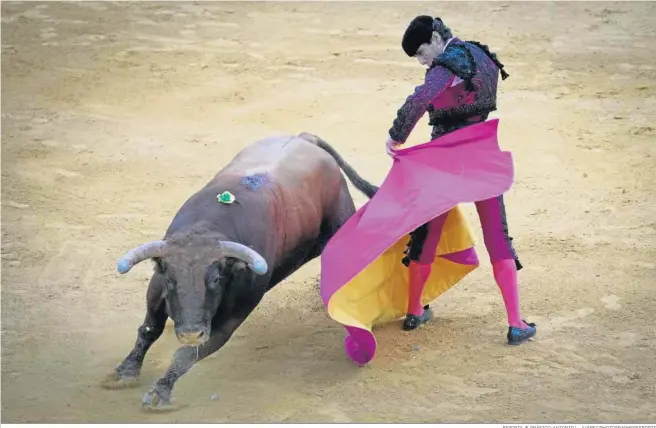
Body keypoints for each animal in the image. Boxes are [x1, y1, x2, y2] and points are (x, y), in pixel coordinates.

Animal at [104, 132, 376, 410]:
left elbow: (188, 353)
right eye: (170, 280)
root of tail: (304, 138)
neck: (208, 226)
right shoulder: (157, 291)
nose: (190, 332)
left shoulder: (232, 317)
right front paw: (126, 372)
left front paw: (159, 392)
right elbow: (149, 330)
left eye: (215, 279)